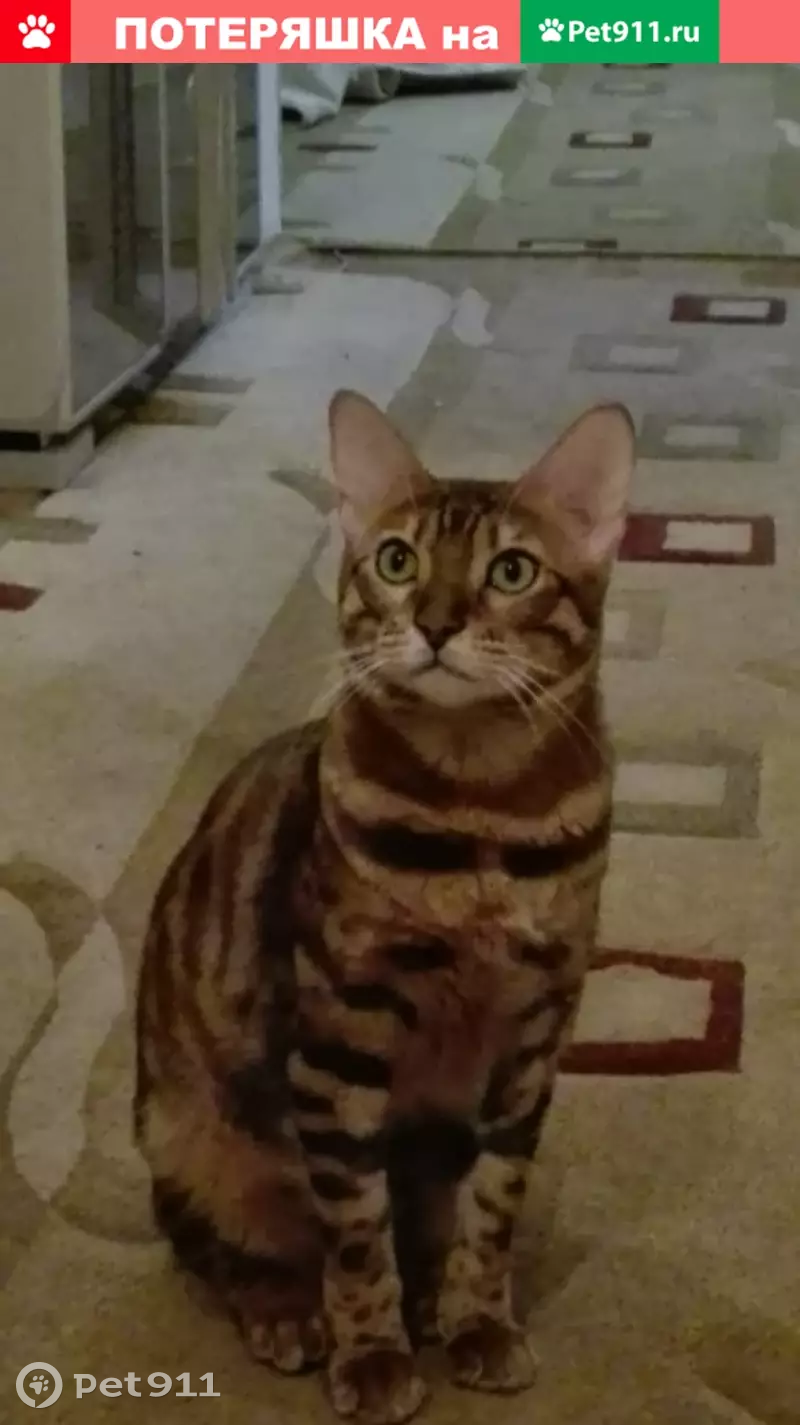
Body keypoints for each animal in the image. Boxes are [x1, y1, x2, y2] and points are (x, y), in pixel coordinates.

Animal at [134, 390, 635, 1425]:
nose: (436, 623)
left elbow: (492, 1202)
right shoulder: (339, 1039)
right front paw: (371, 1353)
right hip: (195, 1133)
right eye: (397, 560)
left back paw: (431, 1295)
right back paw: (290, 1309)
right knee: (227, 1244)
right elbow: (355, 1229)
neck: (484, 818)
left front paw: (479, 1319)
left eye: (512, 570)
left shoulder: (534, 1030)